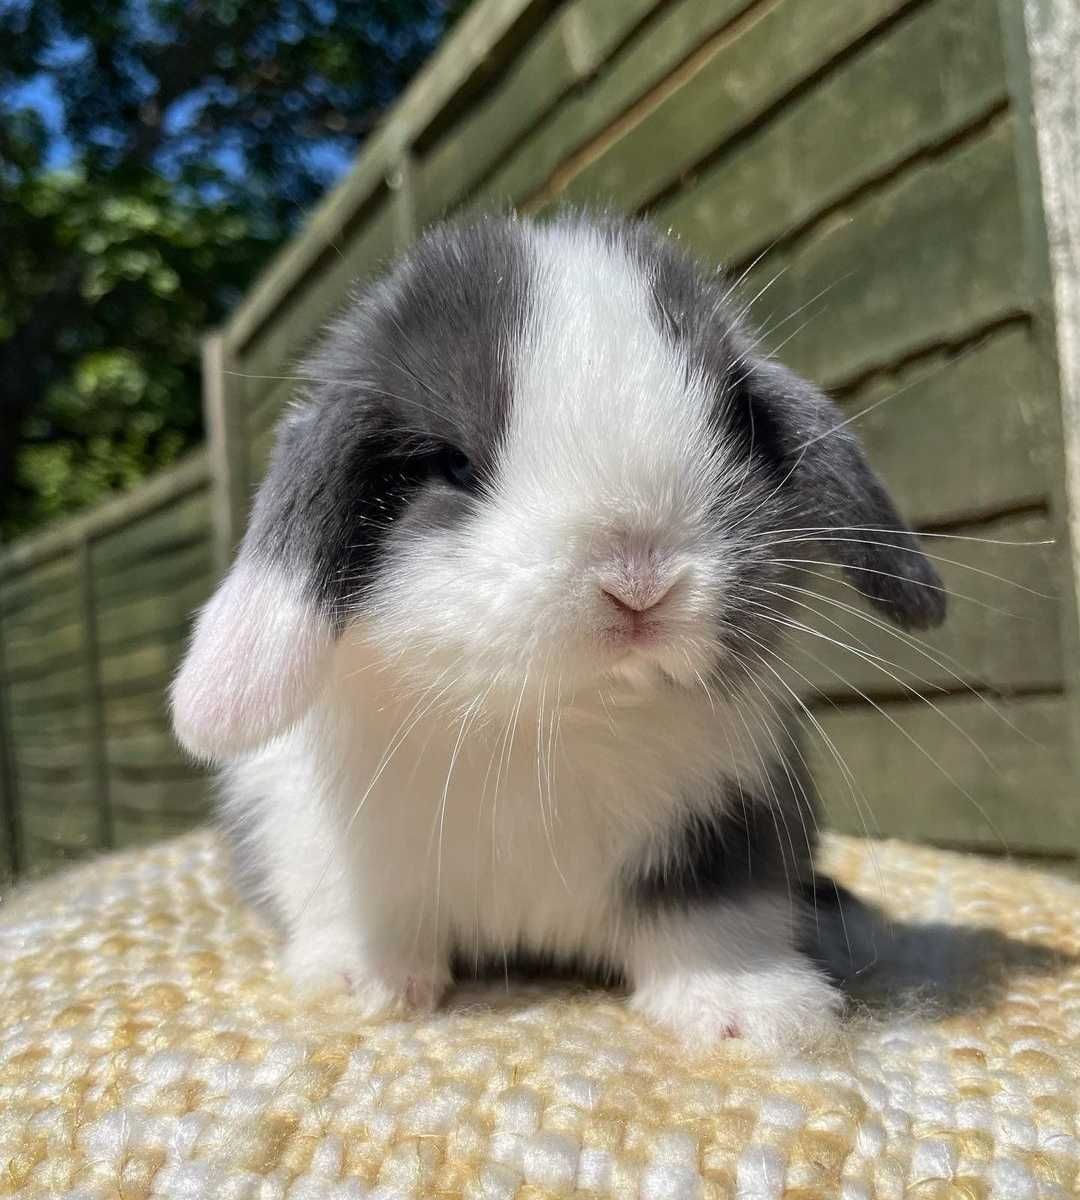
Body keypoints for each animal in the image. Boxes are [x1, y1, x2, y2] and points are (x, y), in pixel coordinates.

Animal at [170, 216, 945, 1051]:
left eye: (734, 428)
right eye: (452, 464)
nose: (638, 581)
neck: (546, 721)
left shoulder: (728, 830)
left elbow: (718, 921)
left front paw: (755, 1012)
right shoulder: (315, 843)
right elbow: (361, 917)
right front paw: (361, 986)